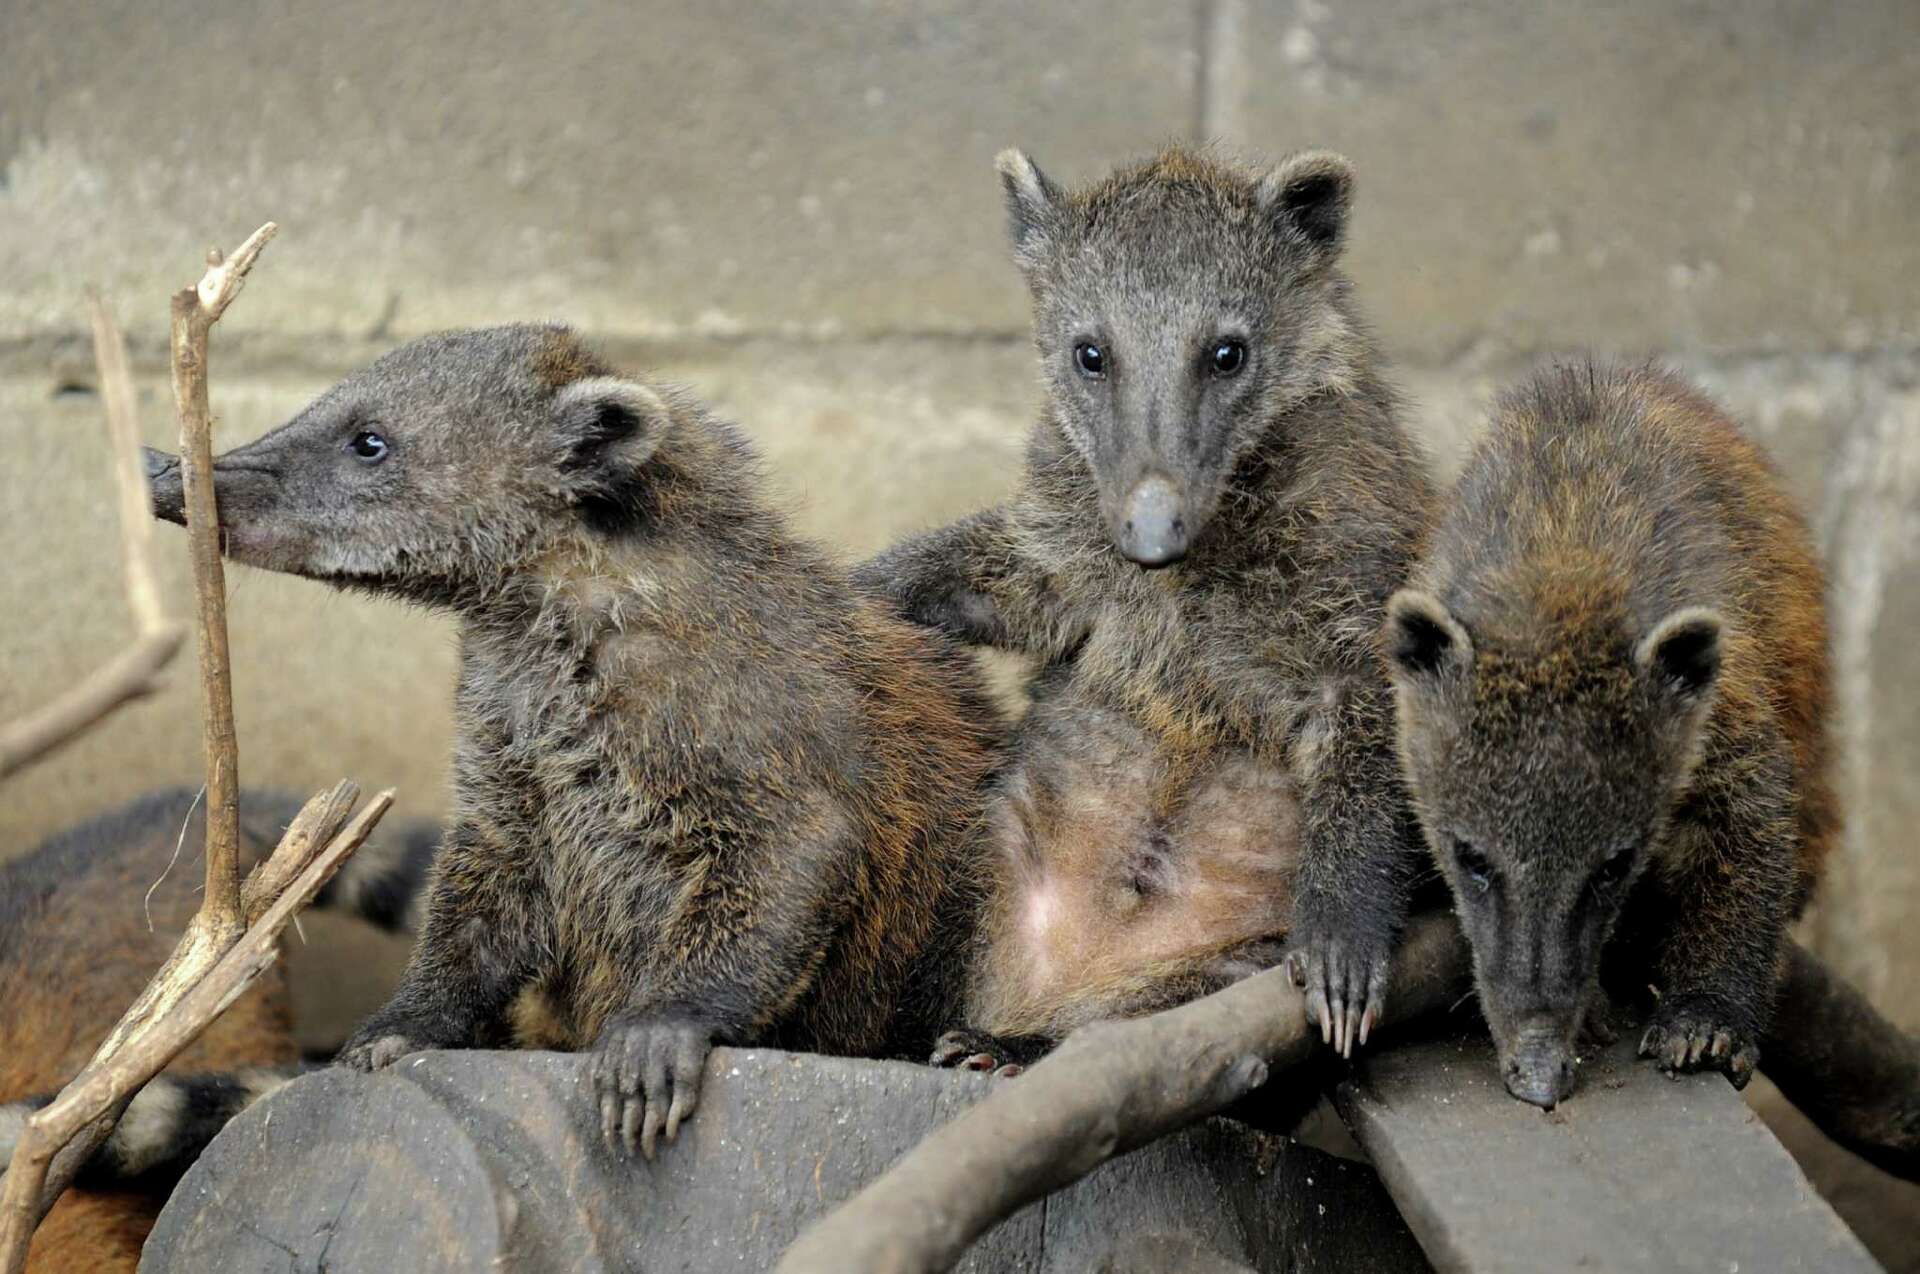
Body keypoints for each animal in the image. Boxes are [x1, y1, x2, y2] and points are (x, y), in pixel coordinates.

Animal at [139, 324, 1003, 1158]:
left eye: (368, 441)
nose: (166, 470)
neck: (561, 601)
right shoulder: (508, 745)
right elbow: (486, 881)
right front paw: (415, 1014)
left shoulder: (749, 714)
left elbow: (798, 847)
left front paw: (669, 1017)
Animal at [858, 146, 1433, 1068]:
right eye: (1091, 352)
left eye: (1228, 352)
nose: (1152, 533)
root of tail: (1055, 978)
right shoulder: (1067, 544)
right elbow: (997, 576)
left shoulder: (1356, 557)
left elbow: (1373, 723)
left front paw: (1344, 936)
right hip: (983, 849)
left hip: (1223, 963)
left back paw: (1022, 1044)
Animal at [1381, 361, 1836, 1108]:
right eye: (1471, 859)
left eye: (1614, 867)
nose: (1541, 1073)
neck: (1562, 566)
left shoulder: (1721, 689)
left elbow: (1755, 819)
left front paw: (1710, 1011)